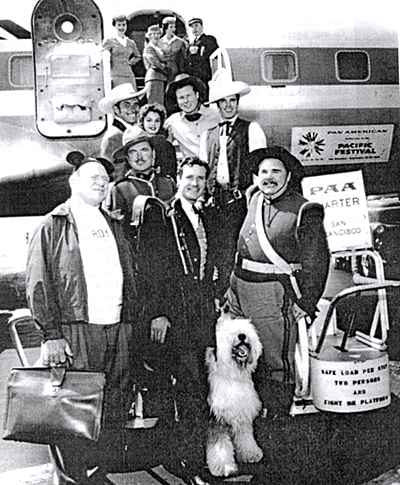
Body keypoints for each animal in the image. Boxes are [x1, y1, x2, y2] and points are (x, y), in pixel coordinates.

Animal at [205, 312, 264, 474]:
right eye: (227, 332)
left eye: (245, 329)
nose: (242, 336)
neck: (231, 375)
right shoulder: (216, 417)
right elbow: (219, 444)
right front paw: (223, 467)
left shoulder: (241, 411)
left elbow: (245, 437)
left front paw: (251, 453)